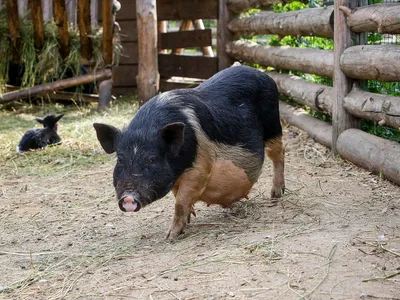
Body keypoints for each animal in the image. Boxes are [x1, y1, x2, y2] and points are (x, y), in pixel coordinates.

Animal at [94, 65, 284, 239]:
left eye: (152, 159)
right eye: (120, 159)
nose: (128, 198)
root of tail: (262, 74)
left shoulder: (200, 168)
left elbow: (180, 201)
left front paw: (170, 236)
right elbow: (179, 197)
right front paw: (189, 218)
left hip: (273, 125)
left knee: (278, 154)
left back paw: (276, 195)